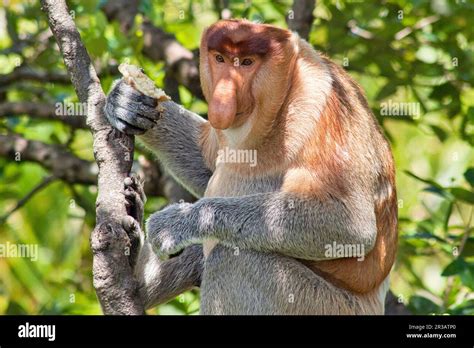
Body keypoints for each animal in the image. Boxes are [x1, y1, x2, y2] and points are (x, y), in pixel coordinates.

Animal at [105, 19, 398, 314]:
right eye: (220, 59)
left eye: (247, 63)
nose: (223, 98)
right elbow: (208, 162)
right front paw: (126, 102)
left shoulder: (322, 104)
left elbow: (351, 226)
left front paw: (177, 223)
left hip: (321, 304)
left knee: (232, 258)